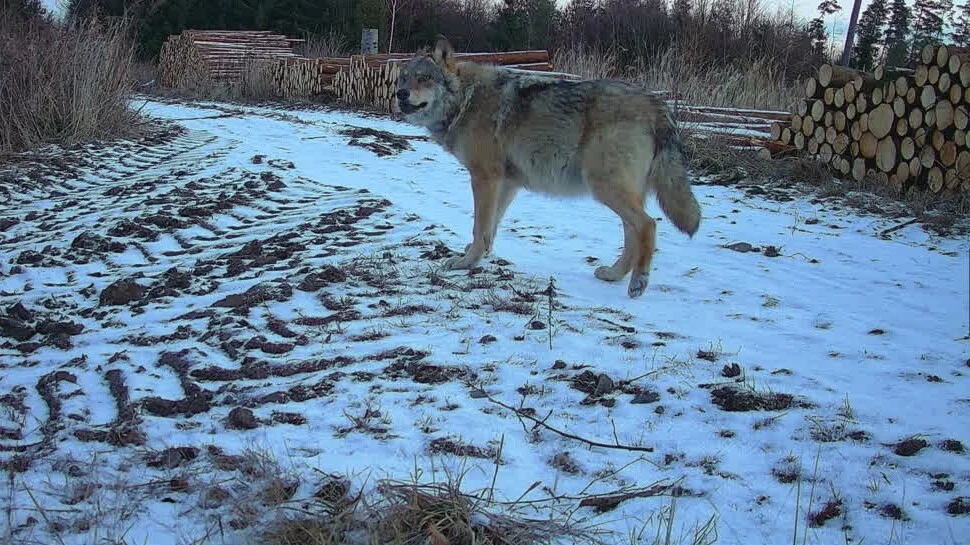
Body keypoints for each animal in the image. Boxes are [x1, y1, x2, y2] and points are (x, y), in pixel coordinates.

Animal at [392, 36, 702, 298]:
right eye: (404, 78)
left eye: (424, 78)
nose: (400, 94)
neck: (466, 100)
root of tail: (657, 104)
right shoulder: (506, 183)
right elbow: (491, 226)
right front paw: (479, 255)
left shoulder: (485, 177)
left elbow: (479, 226)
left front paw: (466, 261)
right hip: (616, 190)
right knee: (632, 233)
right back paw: (614, 274)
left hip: (604, 186)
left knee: (648, 225)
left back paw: (638, 282)